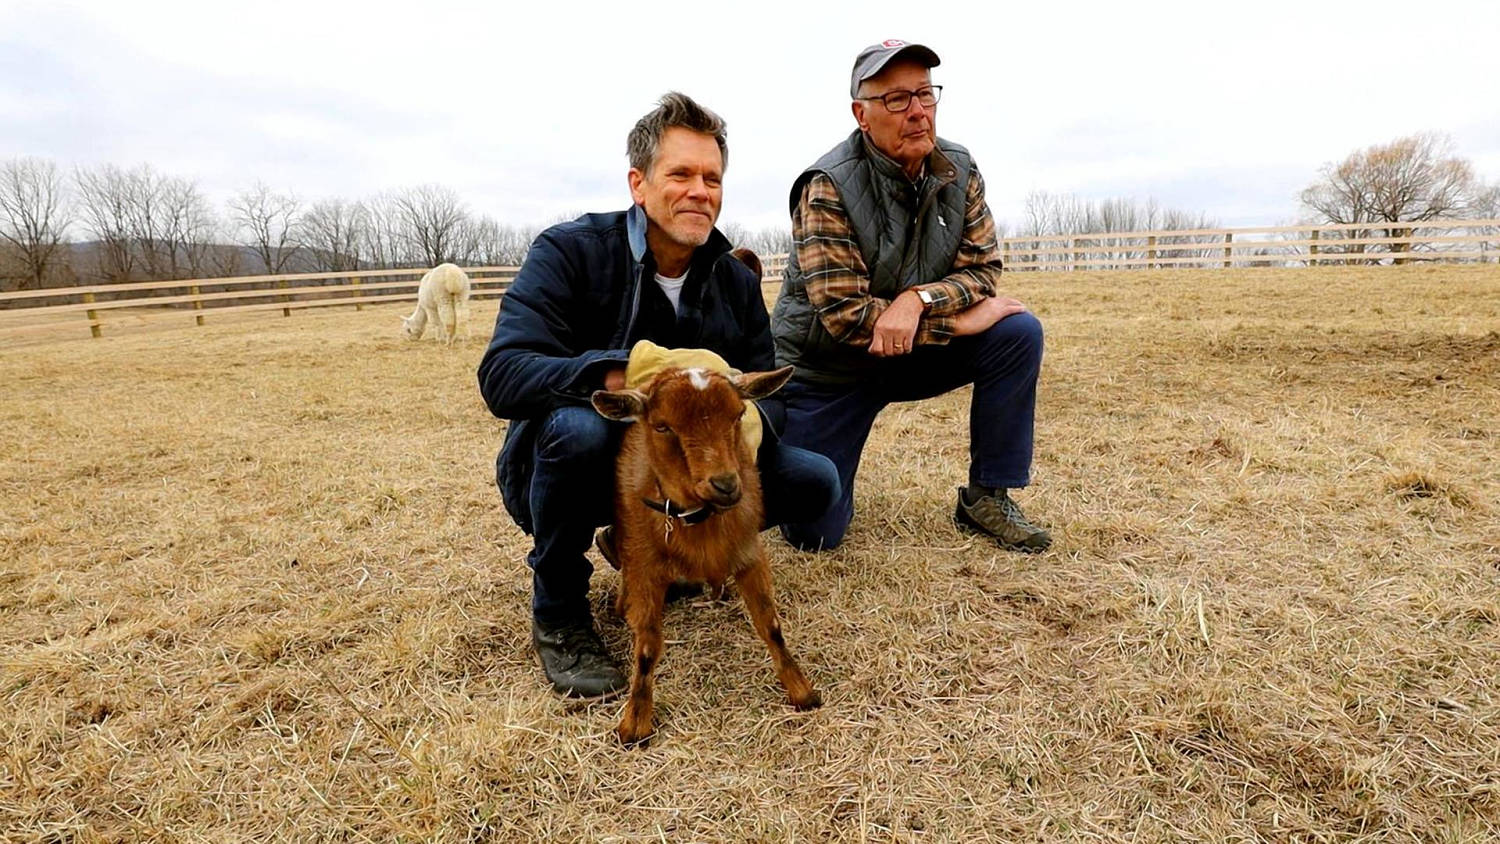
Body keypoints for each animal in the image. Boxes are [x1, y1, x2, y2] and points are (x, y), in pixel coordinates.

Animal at [592, 365, 821, 745]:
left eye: (739, 414)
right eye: (662, 426)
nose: (725, 485)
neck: (699, 520)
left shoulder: (748, 553)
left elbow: (771, 626)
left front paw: (802, 691)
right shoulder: (646, 567)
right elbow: (647, 647)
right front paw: (635, 723)